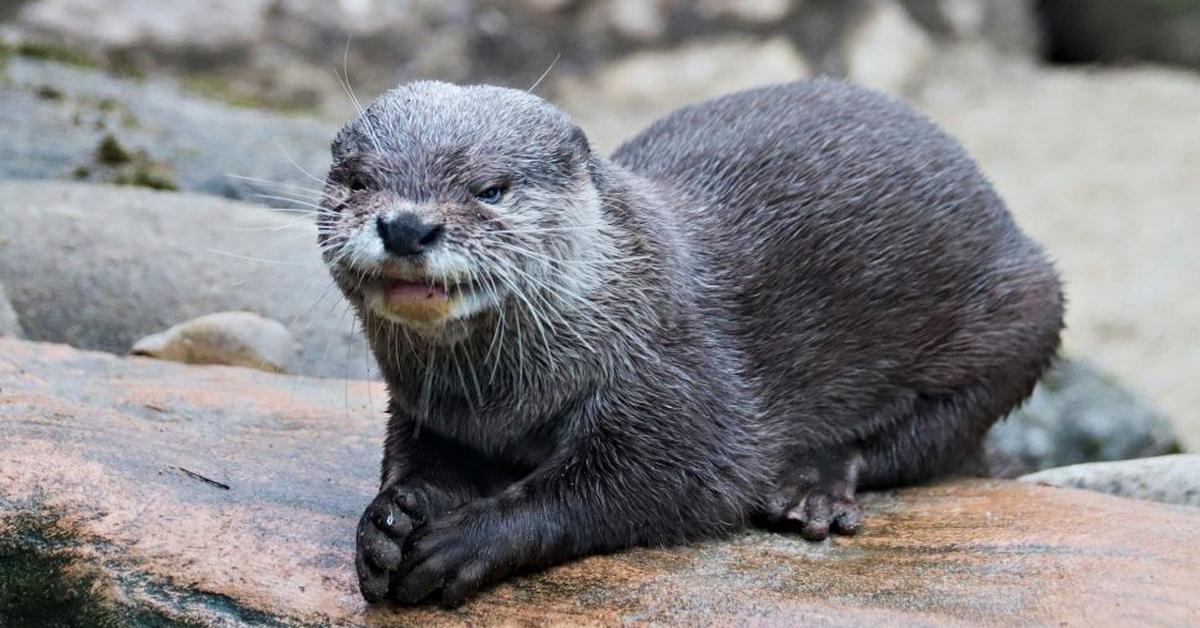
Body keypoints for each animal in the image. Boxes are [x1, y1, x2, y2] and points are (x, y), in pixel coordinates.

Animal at [316, 76, 1060, 607]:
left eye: (490, 188)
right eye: (359, 180)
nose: (406, 225)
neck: (503, 402)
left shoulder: (677, 378)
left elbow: (649, 486)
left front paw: (467, 539)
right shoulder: (424, 406)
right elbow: (415, 461)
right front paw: (390, 522)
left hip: (1027, 314)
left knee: (927, 437)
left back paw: (811, 487)